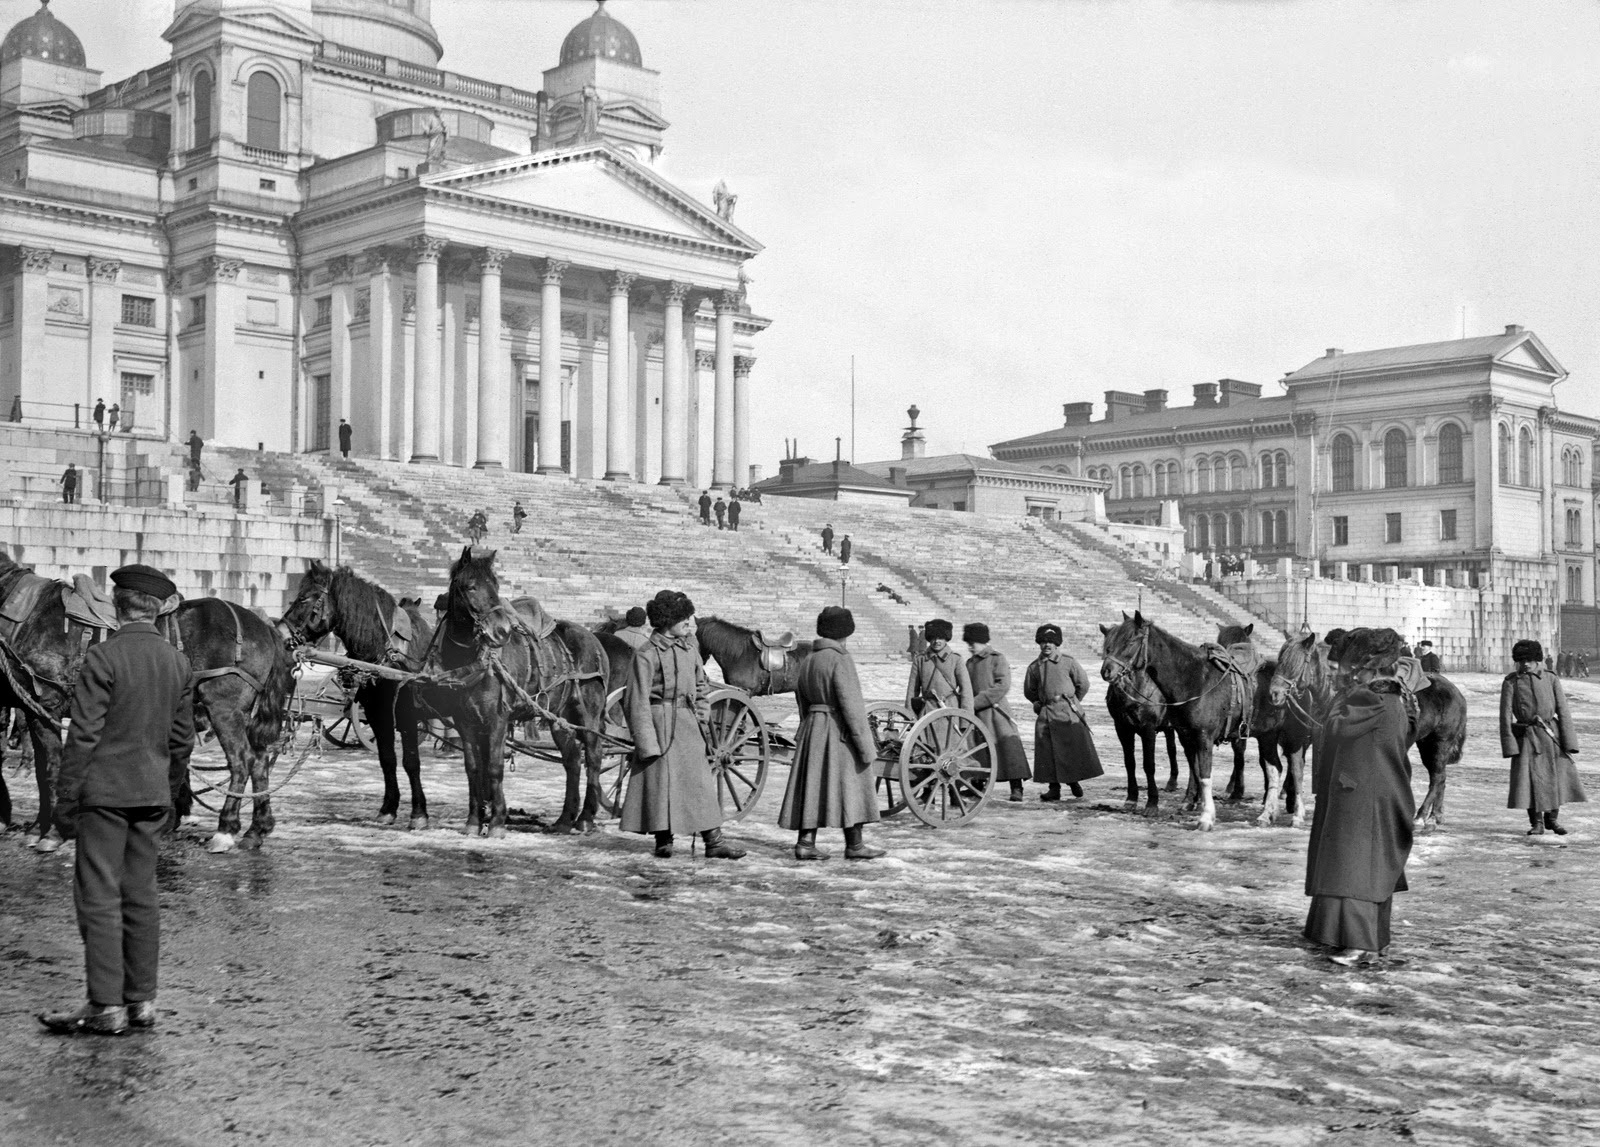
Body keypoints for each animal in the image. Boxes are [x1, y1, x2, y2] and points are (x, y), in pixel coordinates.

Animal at [0, 550, 294, 857]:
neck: (28, 616)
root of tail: (264, 626)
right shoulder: (30, 708)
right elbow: (41, 770)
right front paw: (38, 828)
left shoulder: (45, 704)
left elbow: (50, 768)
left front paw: (52, 833)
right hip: (246, 713)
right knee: (260, 760)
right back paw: (256, 829)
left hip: (224, 709)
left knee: (241, 761)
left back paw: (225, 829)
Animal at [278, 559, 435, 825]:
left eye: (304, 598)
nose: (281, 633)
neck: (388, 652)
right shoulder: (377, 714)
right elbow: (387, 759)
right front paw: (388, 808)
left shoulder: (407, 716)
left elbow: (411, 760)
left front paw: (419, 813)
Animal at [422, 547, 608, 831]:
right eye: (470, 586)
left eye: (496, 585)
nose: (501, 631)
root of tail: (594, 638)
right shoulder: (465, 720)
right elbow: (473, 767)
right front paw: (474, 820)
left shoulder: (498, 718)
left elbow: (494, 767)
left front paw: (497, 822)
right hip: (559, 718)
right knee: (573, 760)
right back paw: (565, 819)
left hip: (588, 715)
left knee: (594, 757)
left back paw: (586, 818)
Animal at [1107, 607, 1254, 831]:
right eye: (1109, 642)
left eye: (1130, 641)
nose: (1106, 670)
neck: (1195, 681)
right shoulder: (1182, 734)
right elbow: (1194, 769)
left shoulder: (1201, 737)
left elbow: (1203, 773)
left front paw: (1206, 817)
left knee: (1242, 758)